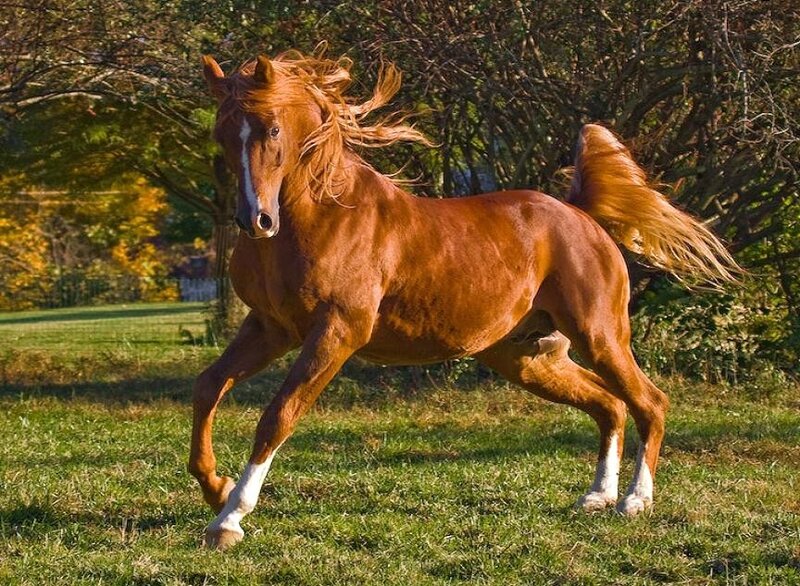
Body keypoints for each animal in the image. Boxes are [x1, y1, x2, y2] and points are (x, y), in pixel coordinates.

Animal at [191, 50, 738, 549]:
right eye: (222, 134)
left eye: (271, 130)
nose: (255, 220)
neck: (324, 215)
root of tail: (582, 216)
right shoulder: (271, 328)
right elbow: (209, 386)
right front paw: (217, 489)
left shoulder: (337, 332)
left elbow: (278, 416)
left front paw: (229, 520)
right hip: (528, 358)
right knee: (610, 406)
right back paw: (596, 496)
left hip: (599, 337)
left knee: (649, 402)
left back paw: (634, 501)